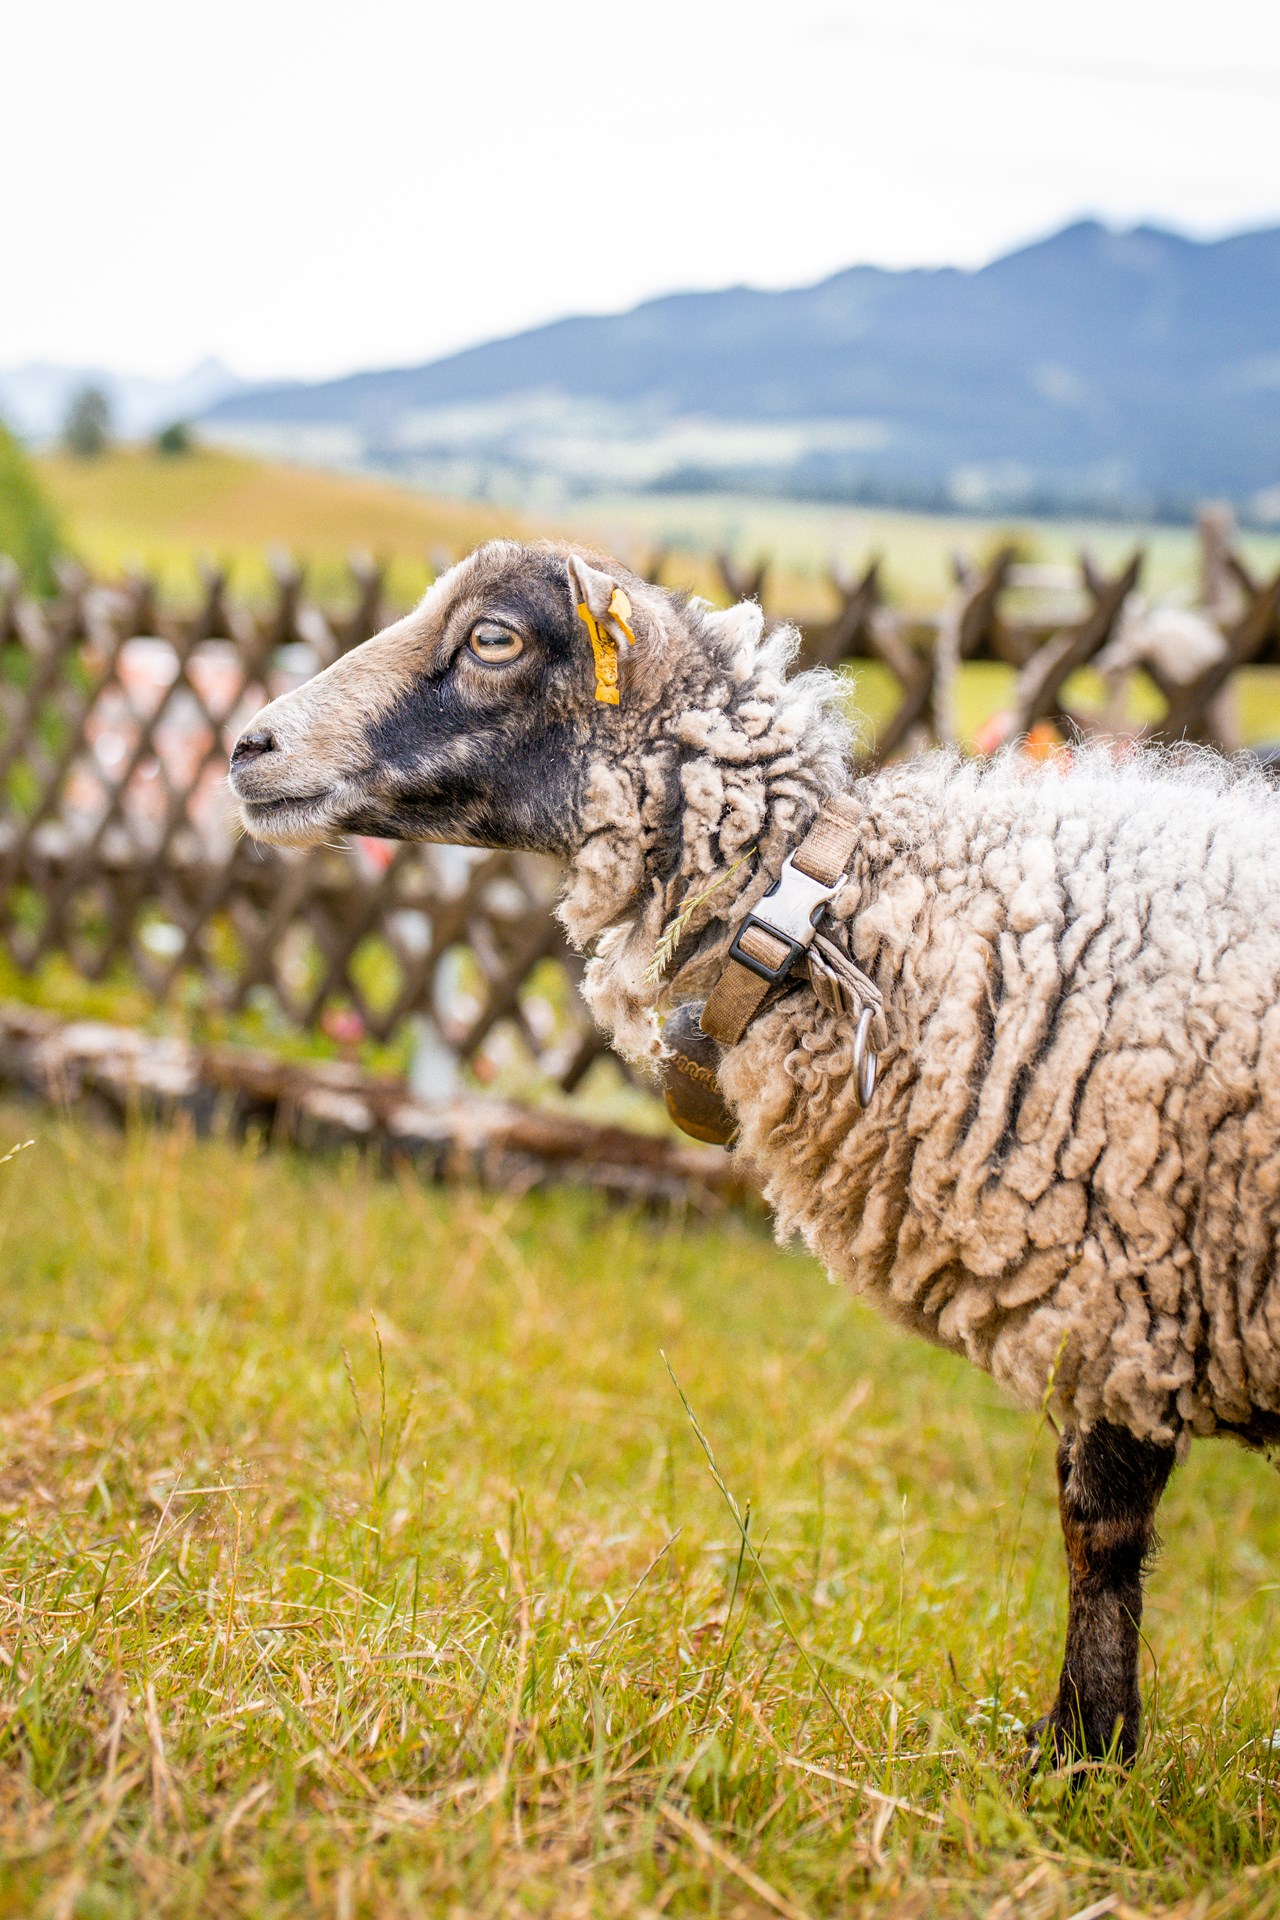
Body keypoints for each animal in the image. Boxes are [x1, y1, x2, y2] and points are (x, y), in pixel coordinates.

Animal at [233, 541, 1280, 1766]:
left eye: (493, 637)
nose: (248, 748)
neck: (837, 912)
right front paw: (1079, 1750)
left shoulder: (1125, 1294)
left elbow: (1097, 1532)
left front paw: (1079, 1759)